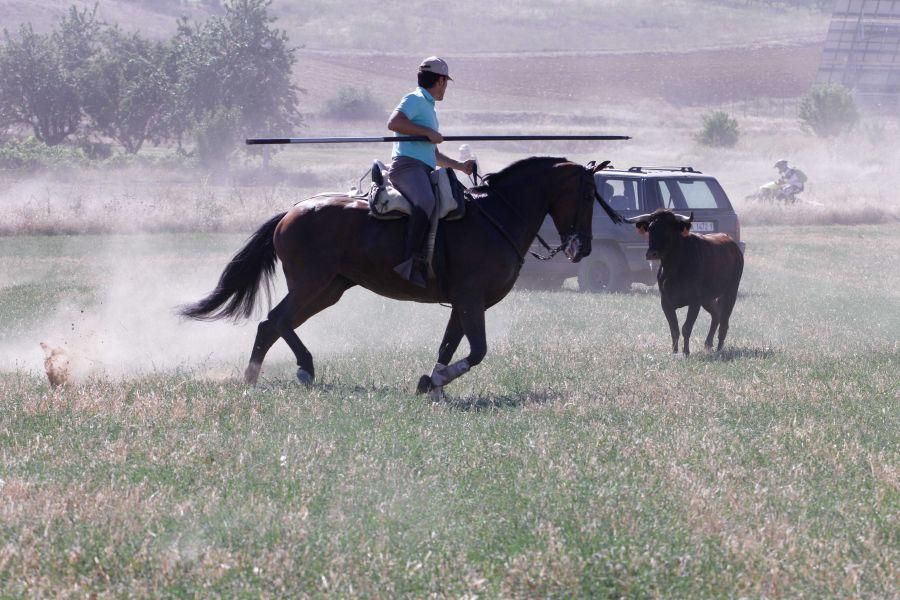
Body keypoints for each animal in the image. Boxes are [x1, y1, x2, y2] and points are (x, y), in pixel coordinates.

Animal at [181, 157, 620, 396]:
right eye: (587, 194)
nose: (583, 248)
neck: (496, 215)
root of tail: (293, 210)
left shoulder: (461, 303)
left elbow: (448, 346)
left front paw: (434, 383)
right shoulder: (471, 300)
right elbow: (476, 350)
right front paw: (438, 380)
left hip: (328, 290)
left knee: (274, 324)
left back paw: (271, 373)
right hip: (311, 285)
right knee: (275, 320)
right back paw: (283, 372)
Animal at [628, 209, 740, 354]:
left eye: (668, 229)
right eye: (651, 228)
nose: (651, 254)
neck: (674, 268)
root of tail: (732, 244)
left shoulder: (695, 302)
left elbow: (686, 328)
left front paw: (686, 352)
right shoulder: (666, 302)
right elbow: (674, 329)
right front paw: (674, 352)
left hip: (730, 292)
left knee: (724, 321)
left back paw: (719, 348)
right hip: (708, 298)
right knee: (716, 314)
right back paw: (708, 344)